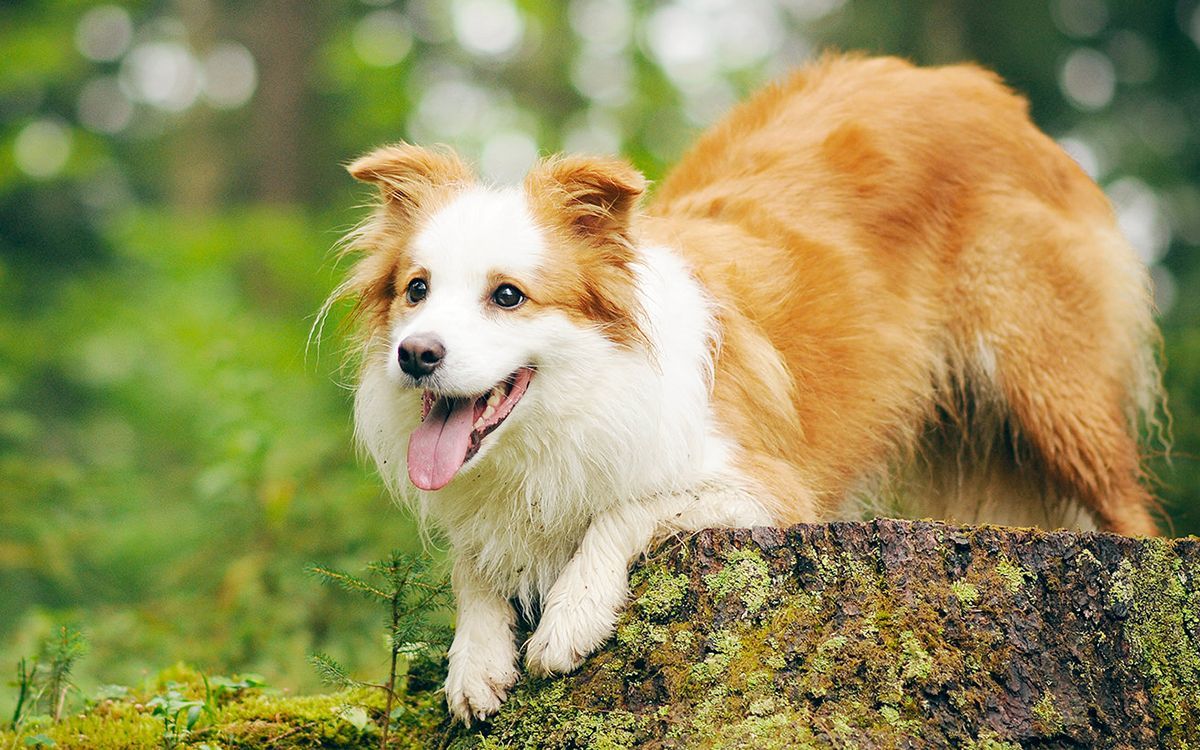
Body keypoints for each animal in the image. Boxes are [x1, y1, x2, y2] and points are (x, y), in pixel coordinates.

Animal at [328, 52, 1161, 720]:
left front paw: (570, 615)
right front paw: (475, 656)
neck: (579, 402)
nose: (415, 356)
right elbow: (472, 560)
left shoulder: (771, 489)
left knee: (1129, 510)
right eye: (416, 290)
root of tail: (977, 86)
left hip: (1049, 387)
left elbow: (624, 510)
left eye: (507, 295)